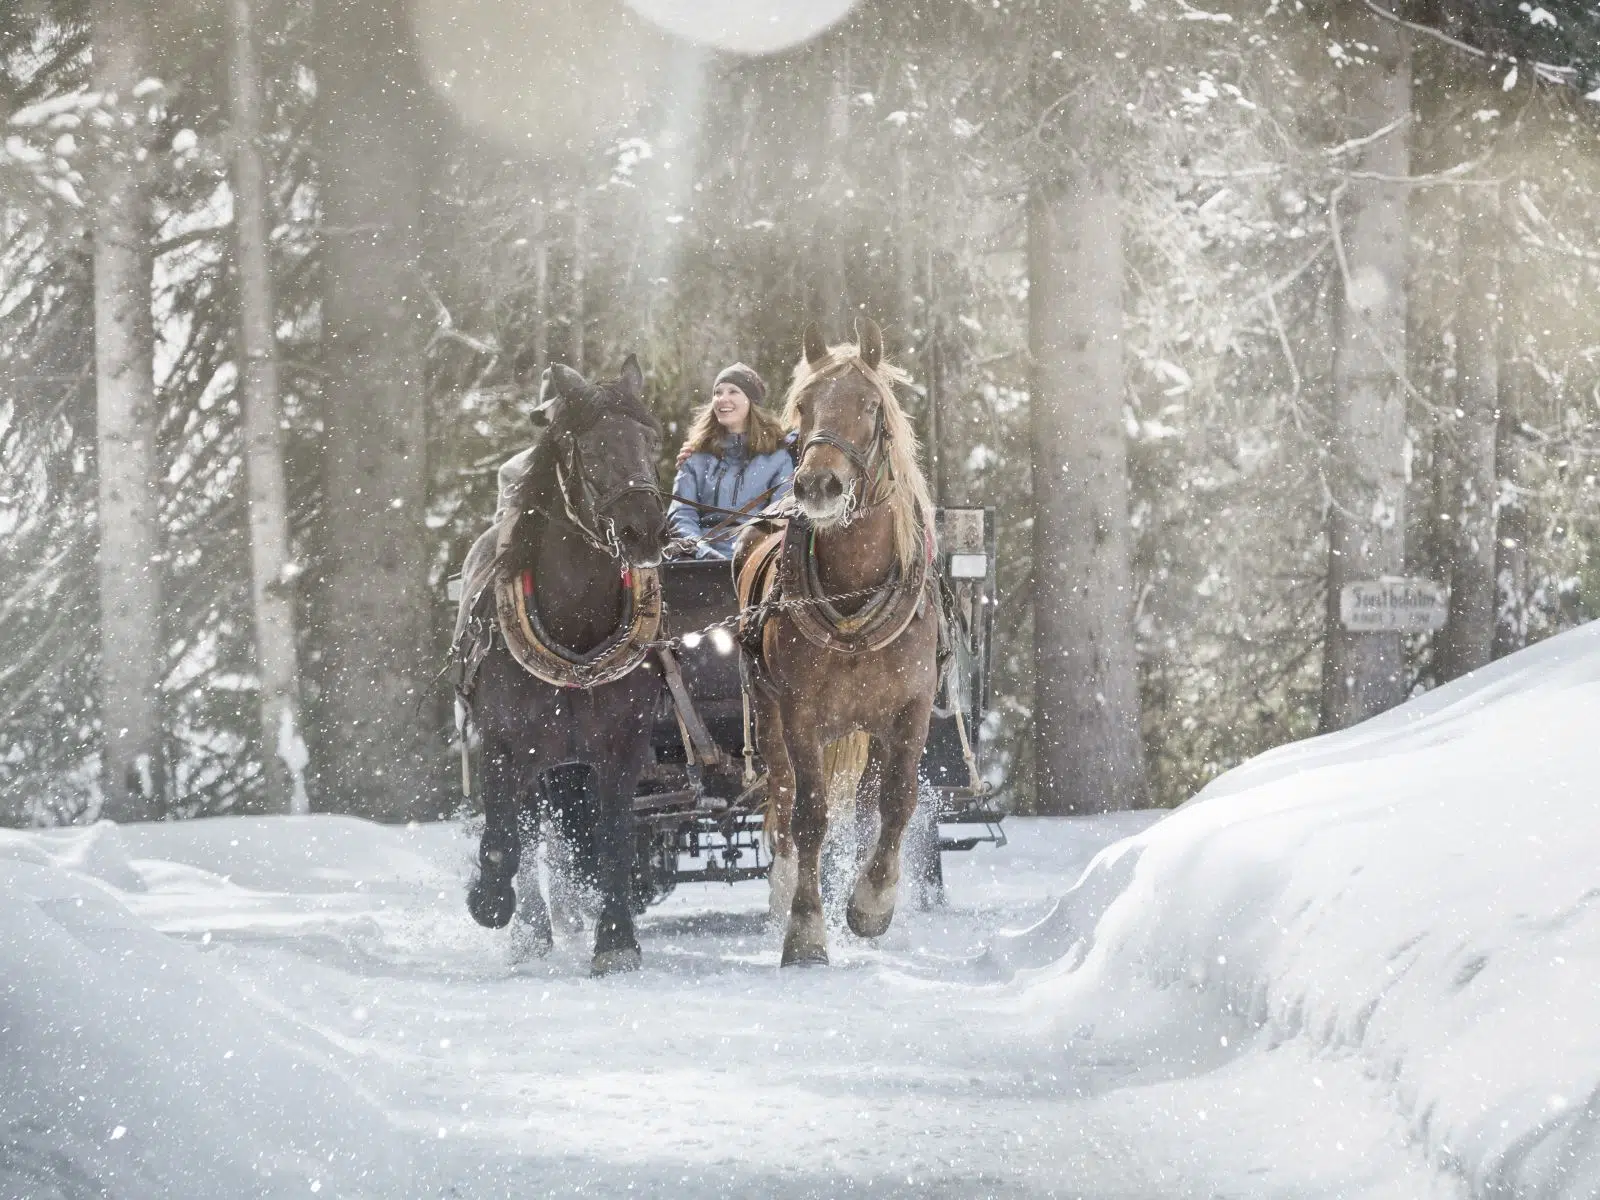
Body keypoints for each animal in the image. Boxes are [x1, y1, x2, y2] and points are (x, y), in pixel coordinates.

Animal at [732, 320, 940, 966]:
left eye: (871, 406)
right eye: (802, 406)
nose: (817, 485)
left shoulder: (911, 707)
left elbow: (897, 801)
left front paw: (870, 904)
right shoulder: (801, 712)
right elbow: (809, 815)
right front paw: (805, 930)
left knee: (870, 802)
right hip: (769, 714)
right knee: (781, 798)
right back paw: (783, 895)